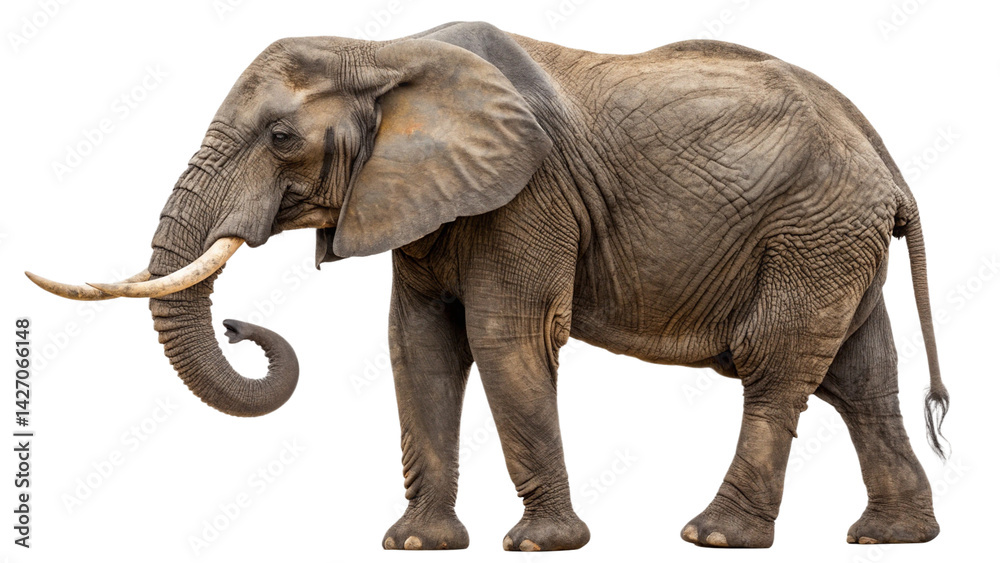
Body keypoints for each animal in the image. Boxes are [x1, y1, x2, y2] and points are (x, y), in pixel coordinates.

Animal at [28, 21, 948, 551]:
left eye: (282, 138)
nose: (240, 328)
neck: (384, 49)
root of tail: (886, 158)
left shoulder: (528, 193)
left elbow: (504, 339)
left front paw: (542, 544)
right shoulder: (417, 198)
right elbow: (419, 347)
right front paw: (415, 544)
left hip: (811, 232)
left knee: (776, 364)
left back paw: (713, 535)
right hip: (832, 237)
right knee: (862, 378)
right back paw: (891, 536)